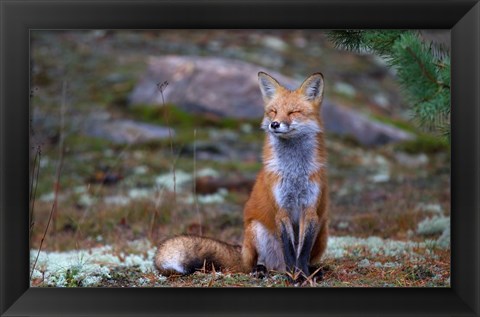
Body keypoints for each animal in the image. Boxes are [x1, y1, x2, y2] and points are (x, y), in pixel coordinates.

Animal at [156, 71, 328, 276]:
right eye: (273, 111)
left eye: (293, 112)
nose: (274, 124)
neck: (294, 172)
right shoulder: (281, 208)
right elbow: (289, 250)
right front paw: (293, 275)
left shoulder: (310, 209)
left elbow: (302, 252)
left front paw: (302, 275)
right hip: (255, 230)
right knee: (254, 265)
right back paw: (262, 270)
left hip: (322, 231)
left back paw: (313, 270)